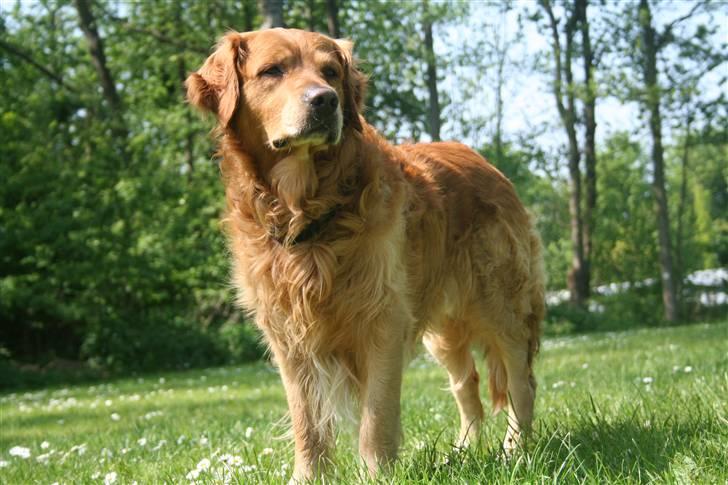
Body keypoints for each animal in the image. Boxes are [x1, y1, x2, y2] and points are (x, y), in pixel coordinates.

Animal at [185, 29, 544, 480]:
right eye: (272, 70)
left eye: (331, 72)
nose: (325, 101)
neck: (307, 213)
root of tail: (487, 163)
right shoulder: (288, 335)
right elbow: (307, 421)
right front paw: (308, 477)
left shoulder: (383, 319)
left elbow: (376, 414)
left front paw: (378, 475)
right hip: (443, 331)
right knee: (468, 387)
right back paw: (463, 451)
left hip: (500, 303)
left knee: (520, 382)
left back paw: (516, 452)